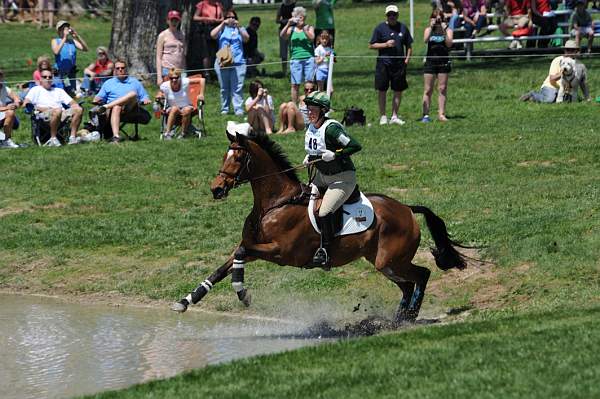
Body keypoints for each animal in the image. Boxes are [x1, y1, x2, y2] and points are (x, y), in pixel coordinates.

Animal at [171, 133, 466, 324]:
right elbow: (225, 265)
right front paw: (186, 301)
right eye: (225, 155)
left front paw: (243, 294)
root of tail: (406, 208)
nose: (216, 189)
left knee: (422, 275)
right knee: (407, 285)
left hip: (391, 259)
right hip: (383, 262)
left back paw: (410, 316)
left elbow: (240, 255)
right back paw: (398, 318)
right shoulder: (255, 247)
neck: (274, 203)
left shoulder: (281, 252)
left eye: (239, 157)